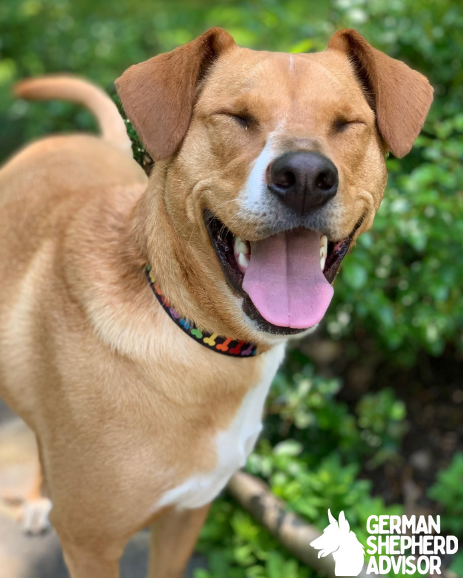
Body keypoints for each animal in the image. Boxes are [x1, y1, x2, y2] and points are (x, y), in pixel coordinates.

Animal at [0, 28, 432, 576]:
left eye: (347, 123)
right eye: (237, 117)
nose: (306, 177)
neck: (197, 338)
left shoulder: (188, 512)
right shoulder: (90, 545)